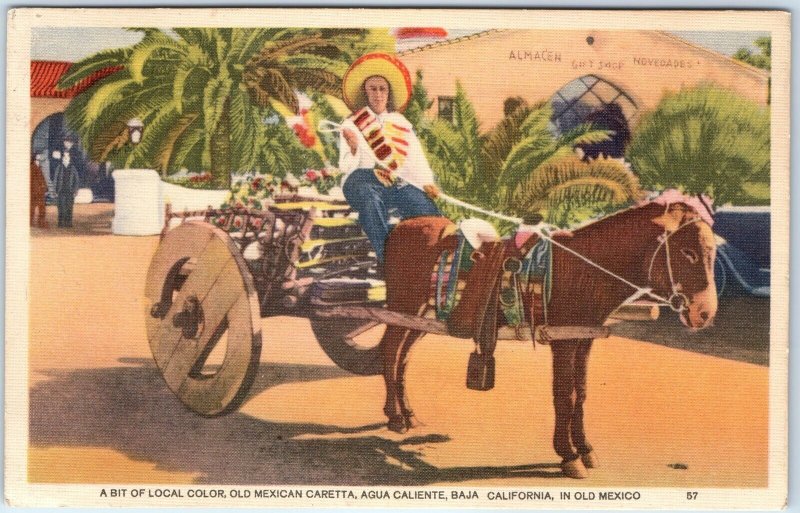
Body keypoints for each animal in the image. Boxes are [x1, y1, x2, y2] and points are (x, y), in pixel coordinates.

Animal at [378, 199, 716, 476]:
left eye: (712, 254)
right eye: (687, 253)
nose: (705, 313)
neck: (584, 269)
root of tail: (400, 227)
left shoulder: (584, 339)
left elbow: (582, 394)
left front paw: (585, 449)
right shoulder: (563, 342)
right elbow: (565, 396)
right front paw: (568, 456)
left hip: (423, 315)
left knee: (403, 358)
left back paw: (408, 415)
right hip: (402, 307)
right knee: (390, 352)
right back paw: (395, 418)